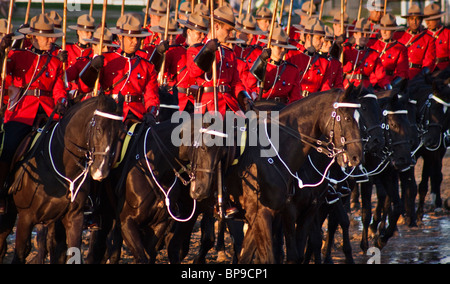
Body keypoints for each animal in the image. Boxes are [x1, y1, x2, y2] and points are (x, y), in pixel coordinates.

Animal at [0, 94, 125, 262]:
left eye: (120, 133)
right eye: (98, 128)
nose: (101, 171)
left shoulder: (74, 218)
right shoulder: (26, 218)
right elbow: (19, 254)